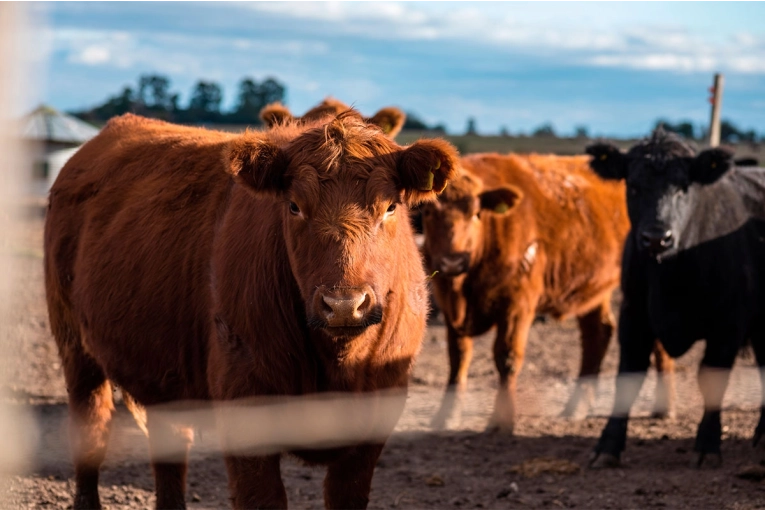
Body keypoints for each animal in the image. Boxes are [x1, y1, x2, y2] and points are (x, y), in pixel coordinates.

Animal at [44, 109, 456, 508]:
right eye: (294, 206)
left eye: (390, 207)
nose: (343, 304)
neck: (337, 362)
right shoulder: (244, 404)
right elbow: (262, 498)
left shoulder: (375, 419)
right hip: (75, 348)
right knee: (91, 431)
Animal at [418, 151, 676, 430]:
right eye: (428, 212)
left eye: (476, 213)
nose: (452, 261)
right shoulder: (450, 308)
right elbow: (458, 357)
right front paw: (448, 415)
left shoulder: (517, 305)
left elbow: (507, 357)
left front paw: (502, 420)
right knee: (598, 333)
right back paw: (577, 406)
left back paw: (664, 407)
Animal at [584, 129, 764, 468]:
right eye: (634, 185)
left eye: (683, 187)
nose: (656, 238)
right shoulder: (634, 315)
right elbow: (628, 376)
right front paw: (608, 446)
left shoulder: (729, 324)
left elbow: (713, 376)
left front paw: (708, 445)